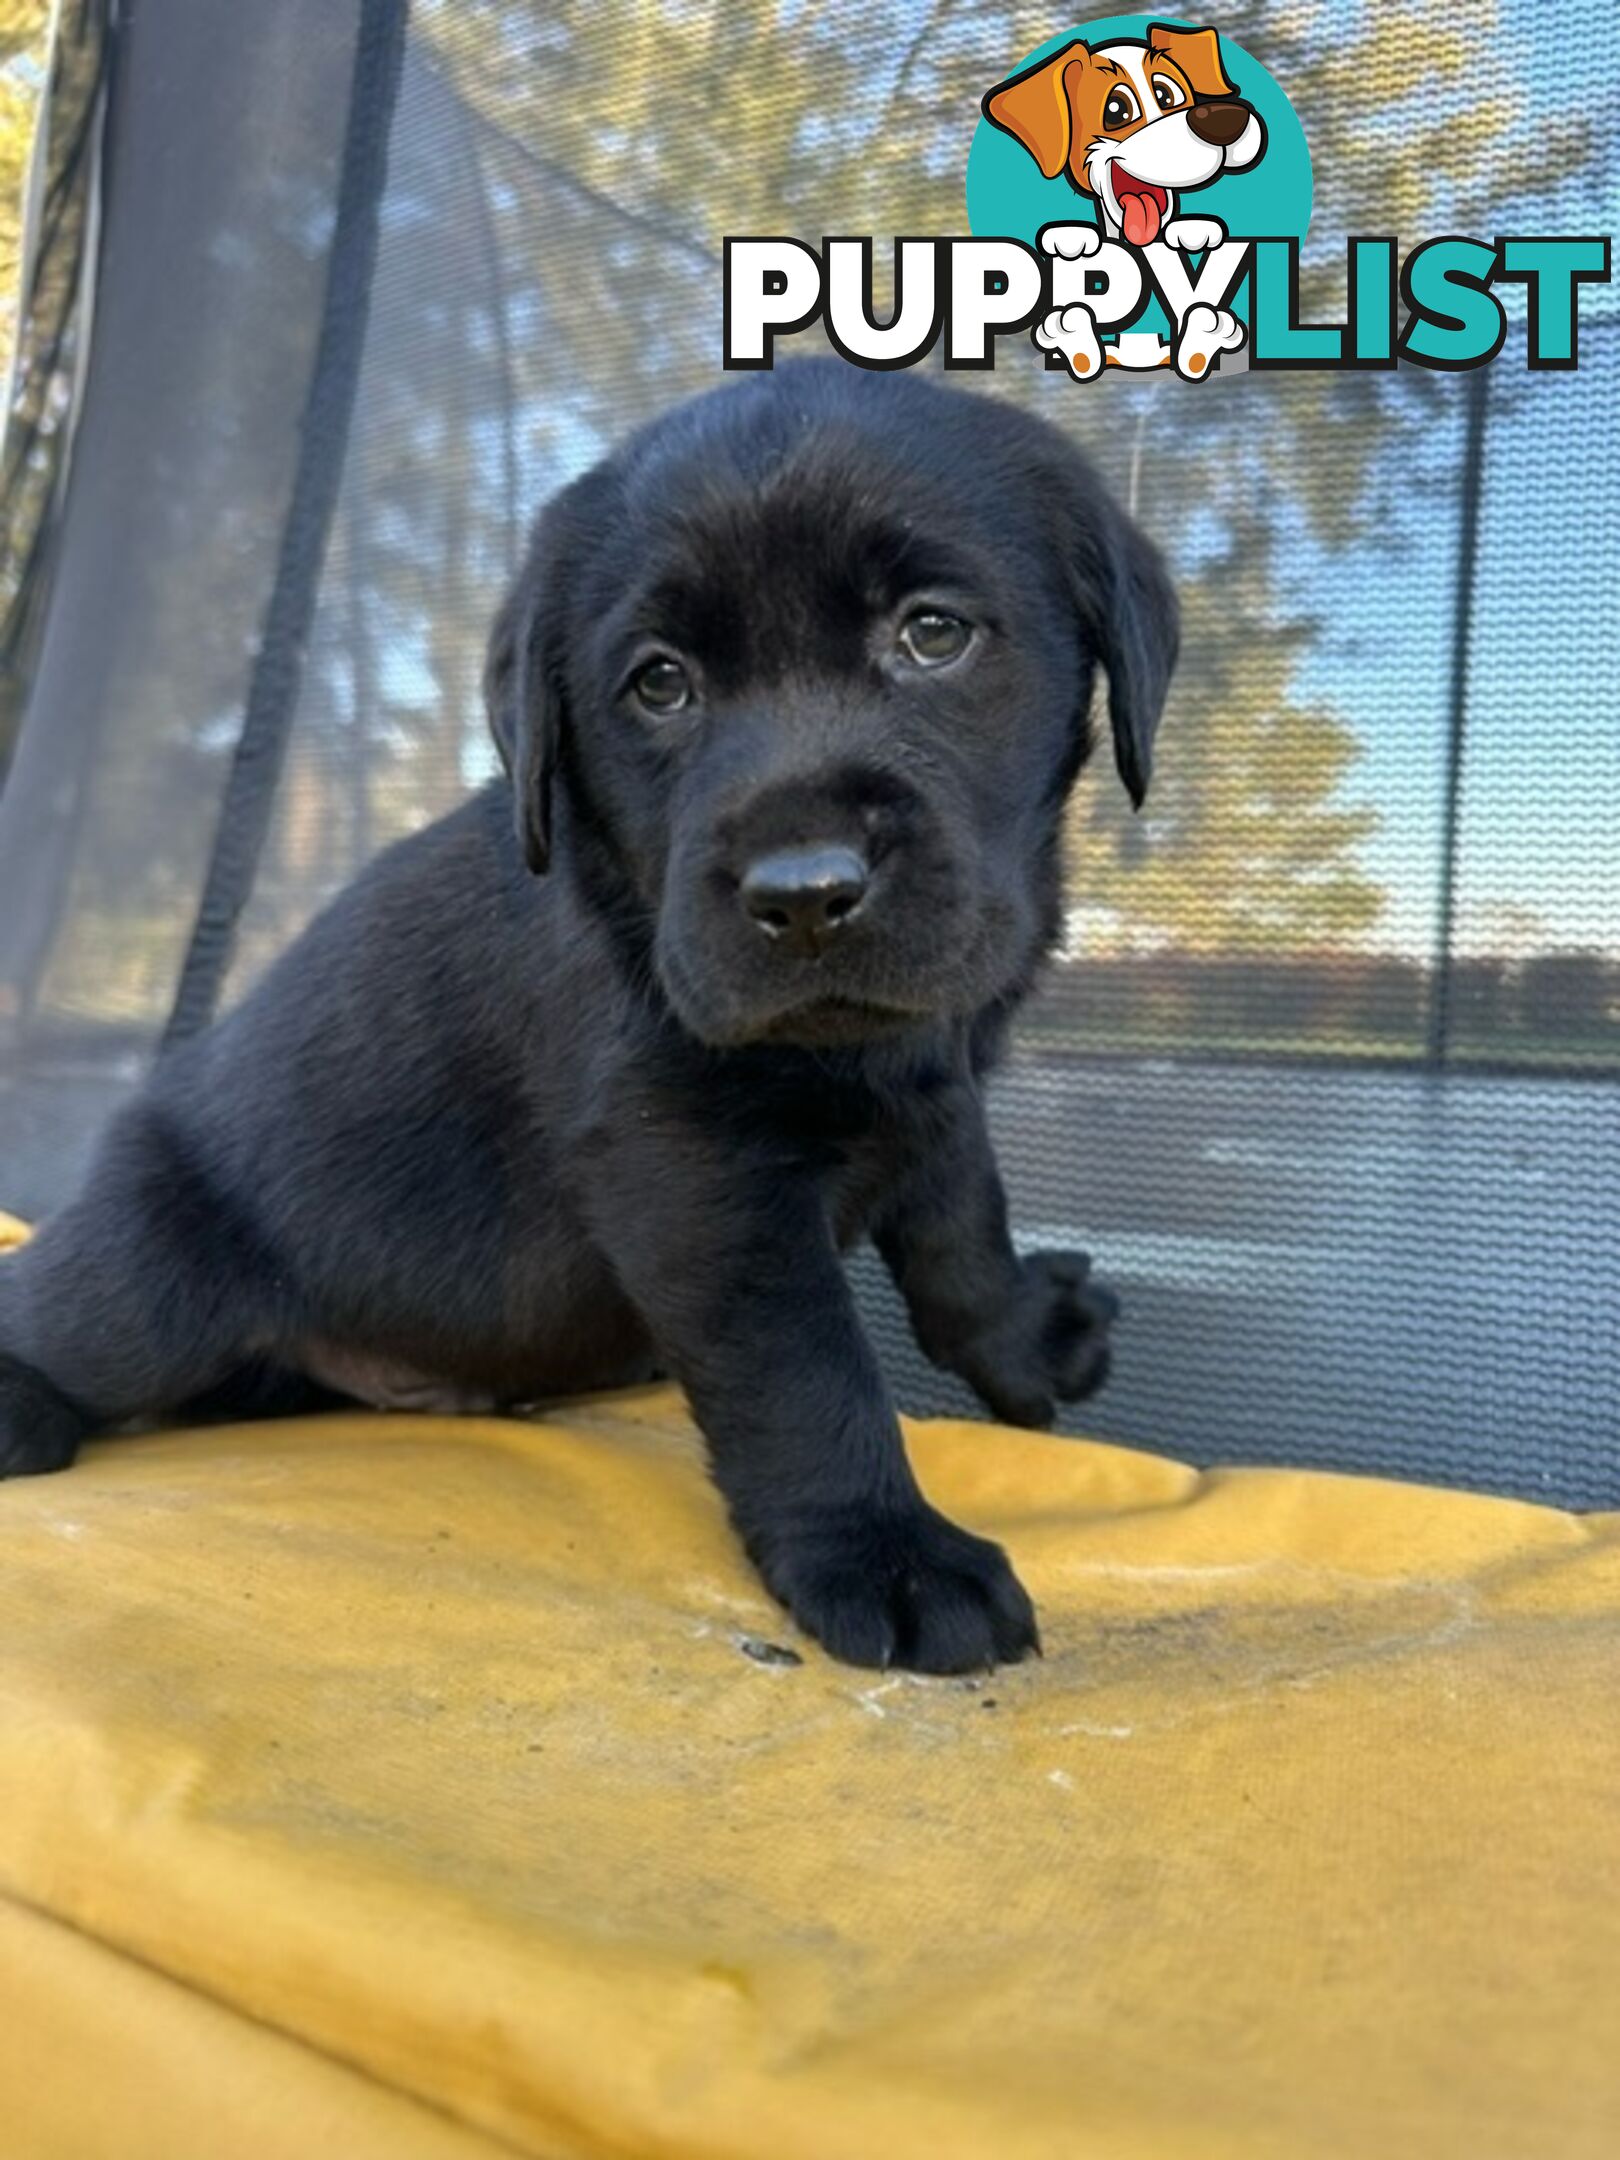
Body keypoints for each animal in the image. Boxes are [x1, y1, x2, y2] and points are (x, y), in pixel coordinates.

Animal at [0, 358, 1183, 1667]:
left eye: (934, 633)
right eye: (659, 683)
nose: (803, 896)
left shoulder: (935, 1090)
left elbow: (963, 1230)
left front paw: (1025, 1340)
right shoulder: (695, 1173)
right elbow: (808, 1370)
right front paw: (885, 1549)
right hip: (147, 1275)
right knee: (64, 1315)